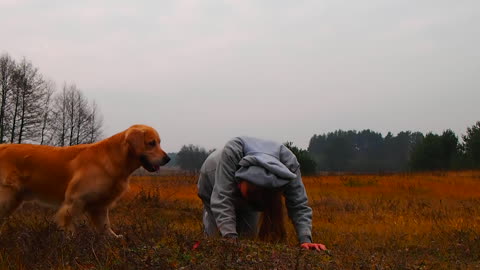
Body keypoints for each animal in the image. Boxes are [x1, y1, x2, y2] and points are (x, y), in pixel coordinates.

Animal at [0, 124, 169, 238]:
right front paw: (71, 242)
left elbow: (105, 226)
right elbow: (69, 226)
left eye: (159, 142)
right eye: (151, 143)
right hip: (7, 197)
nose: (167, 159)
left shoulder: (99, 206)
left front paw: (114, 238)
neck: (114, 158)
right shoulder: (75, 200)